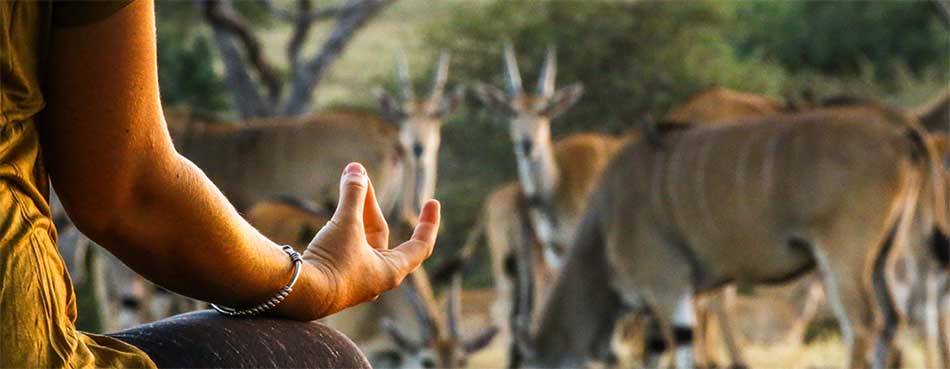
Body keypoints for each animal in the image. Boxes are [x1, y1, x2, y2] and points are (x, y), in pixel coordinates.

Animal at [516, 104, 948, 368]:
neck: (607, 214)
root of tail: (901, 131)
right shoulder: (663, 302)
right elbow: (654, 352)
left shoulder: (668, 287)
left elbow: (684, 349)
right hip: (882, 257)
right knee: (892, 320)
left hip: (843, 258)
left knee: (861, 324)